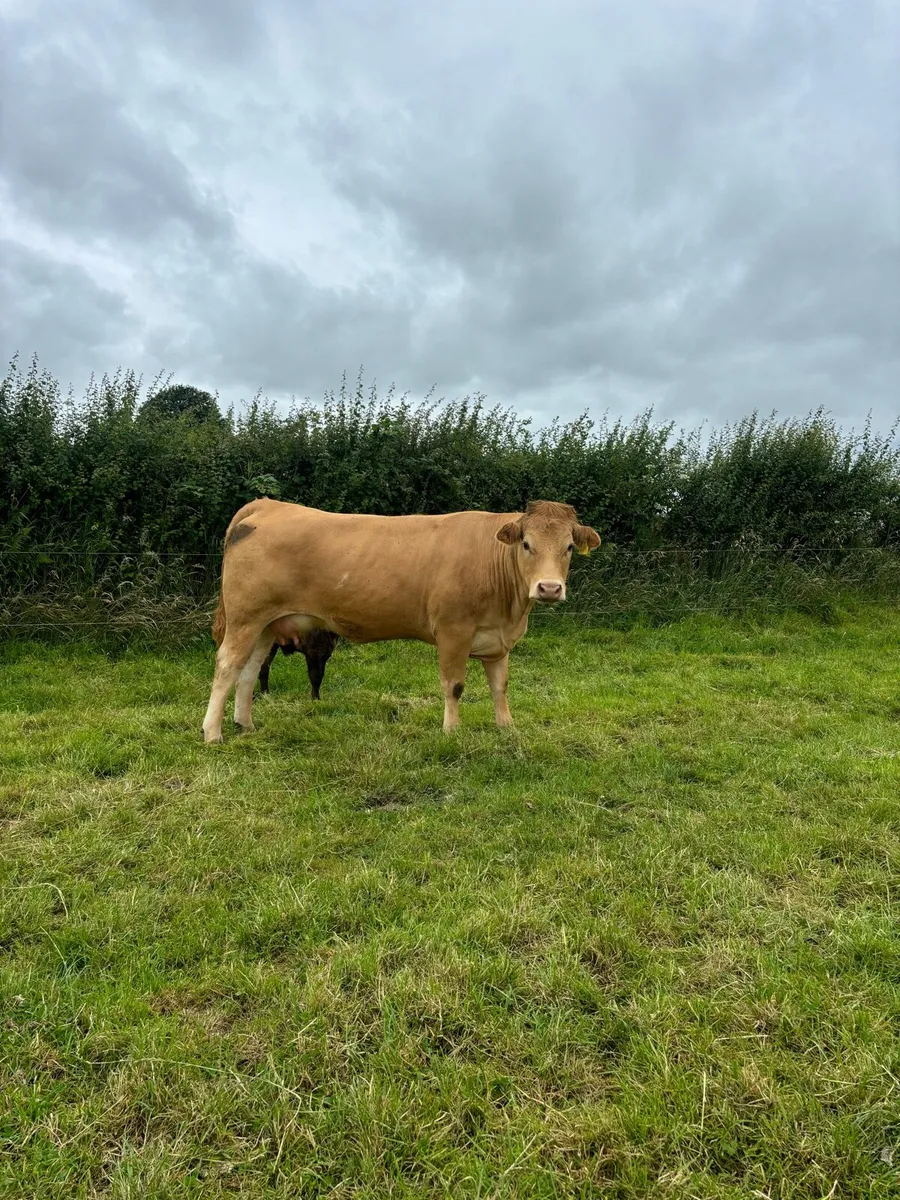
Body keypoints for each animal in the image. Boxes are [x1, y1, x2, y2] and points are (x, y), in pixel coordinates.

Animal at [203, 498, 600, 742]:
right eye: (527, 544)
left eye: (568, 547)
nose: (549, 588)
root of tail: (268, 505)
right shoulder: (453, 632)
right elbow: (454, 686)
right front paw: (451, 733)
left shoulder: (497, 641)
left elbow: (500, 686)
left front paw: (507, 729)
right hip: (245, 618)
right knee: (226, 667)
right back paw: (212, 733)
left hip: (267, 625)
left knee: (249, 670)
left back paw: (245, 724)